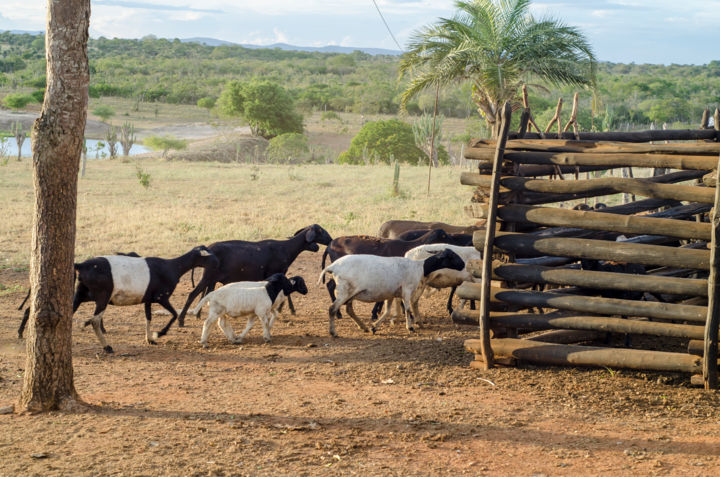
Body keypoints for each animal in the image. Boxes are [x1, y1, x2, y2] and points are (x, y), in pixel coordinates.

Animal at [74, 245, 219, 350]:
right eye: (209, 255)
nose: (217, 262)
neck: (172, 267)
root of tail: (81, 265)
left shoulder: (148, 300)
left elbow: (148, 317)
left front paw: (149, 339)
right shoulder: (161, 297)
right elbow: (173, 314)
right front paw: (158, 334)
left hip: (82, 294)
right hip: (103, 296)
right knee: (95, 321)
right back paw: (107, 347)